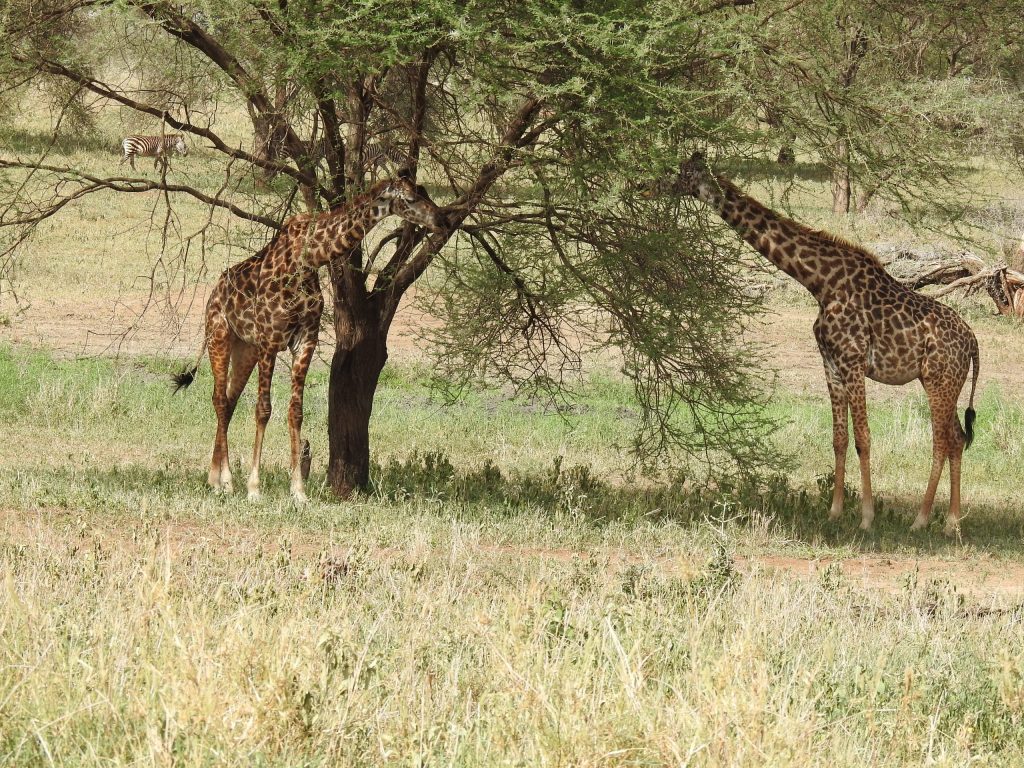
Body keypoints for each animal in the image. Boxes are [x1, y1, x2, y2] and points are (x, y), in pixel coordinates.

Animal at [173, 177, 448, 502]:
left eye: (425, 192)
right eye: (410, 199)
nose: (442, 220)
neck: (308, 259)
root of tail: (214, 292)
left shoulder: (305, 340)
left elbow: (296, 412)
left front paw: (298, 492)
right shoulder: (270, 340)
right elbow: (263, 409)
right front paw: (255, 489)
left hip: (246, 348)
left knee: (228, 401)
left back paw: (217, 480)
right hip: (219, 335)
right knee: (218, 399)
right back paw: (224, 481)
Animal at [665, 152, 980, 534]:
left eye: (684, 173)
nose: (653, 184)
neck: (820, 283)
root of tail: (973, 342)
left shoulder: (853, 360)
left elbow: (863, 437)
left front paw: (867, 517)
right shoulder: (830, 362)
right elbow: (839, 439)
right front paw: (835, 512)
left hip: (938, 381)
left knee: (942, 440)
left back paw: (922, 520)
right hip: (945, 383)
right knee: (958, 438)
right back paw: (952, 523)